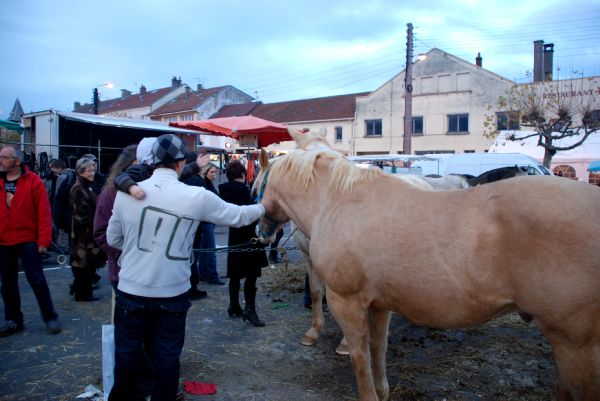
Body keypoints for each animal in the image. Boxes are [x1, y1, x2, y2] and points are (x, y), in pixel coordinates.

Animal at [255, 130, 600, 400]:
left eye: (256, 185)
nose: (263, 231)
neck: (337, 202)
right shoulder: (379, 304)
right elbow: (378, 349)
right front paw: (383, 391)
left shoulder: (347, 302)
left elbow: (359, 357)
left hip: (576, 349)